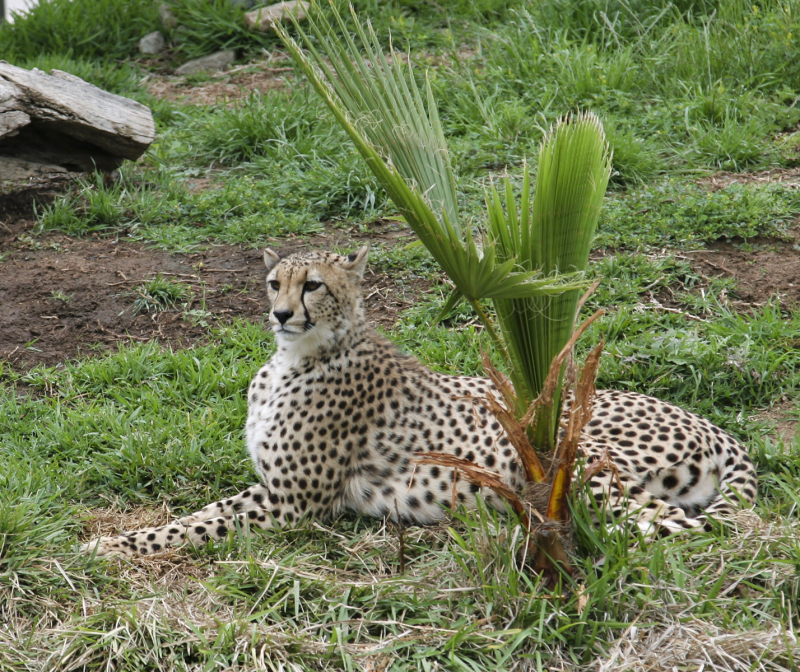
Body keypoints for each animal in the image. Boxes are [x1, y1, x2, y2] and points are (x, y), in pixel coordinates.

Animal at [81, 246, 757, 557]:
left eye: (313, 286)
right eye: (274, 283)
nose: (280, 314)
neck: (296, 359)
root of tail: (711, 423)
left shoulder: (293, 503)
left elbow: (195, 522)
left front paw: (112, 546)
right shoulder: (275, 490)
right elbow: (199, 511)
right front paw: (115, 540)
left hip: (579, 468)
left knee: (689, 531)